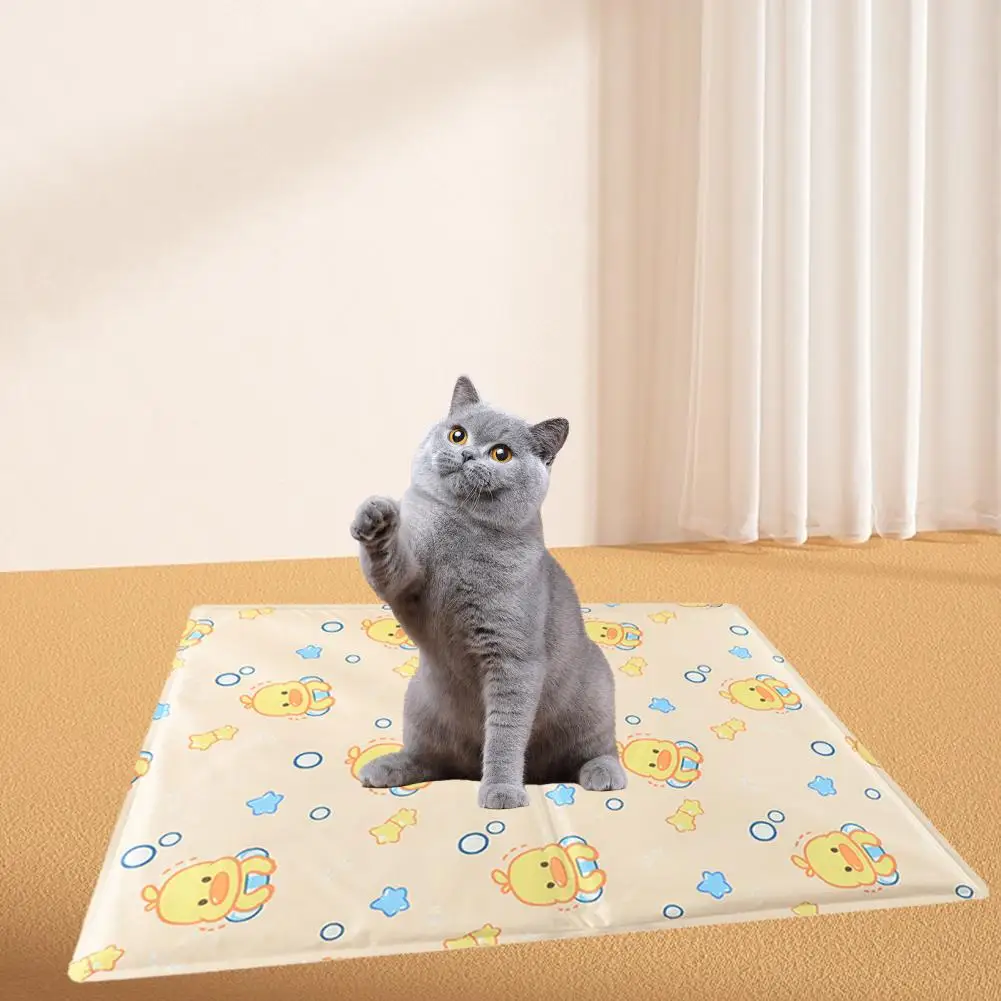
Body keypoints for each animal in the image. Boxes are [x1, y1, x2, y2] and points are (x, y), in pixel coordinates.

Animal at [349, 375, 626, 809]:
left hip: (595, 700)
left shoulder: (513, 659)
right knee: (431, 760)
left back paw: (603, 774)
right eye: (457, 434)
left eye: (501, 454)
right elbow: (390, 567)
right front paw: (377, 516)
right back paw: (385, 767)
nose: (467, 455)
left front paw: (501, 792)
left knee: (597, 750)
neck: (459, 527)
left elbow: (504, 737)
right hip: (419, 704)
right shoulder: (407, 581)